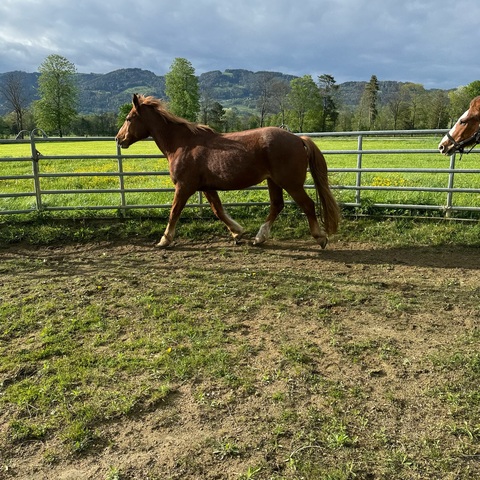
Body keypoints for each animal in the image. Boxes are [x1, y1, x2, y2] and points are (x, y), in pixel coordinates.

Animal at [116, 94, 340, 248]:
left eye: (128, 118)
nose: (119, 139)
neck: (182, 144)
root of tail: (299, 139)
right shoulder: (206, 187)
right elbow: (218, 210)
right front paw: (237, 233)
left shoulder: (184, 186)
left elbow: (174, 212)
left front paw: (164, 240)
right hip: (274, 181)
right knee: (277, 205)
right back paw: (259, 238)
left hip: (290, 183)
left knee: (308, 205)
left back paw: (320, 238)